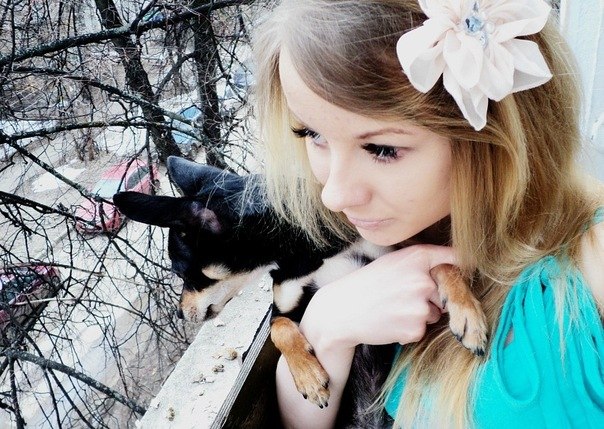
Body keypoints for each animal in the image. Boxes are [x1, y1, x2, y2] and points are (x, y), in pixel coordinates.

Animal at [113, 156, 487, 426]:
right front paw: (308, 376)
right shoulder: (285, 305)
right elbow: (279, 328)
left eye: (180, 272)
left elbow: (441, 264)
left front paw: (467, 312)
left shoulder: (395, 255)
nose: (179, 313)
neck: (304, 250)